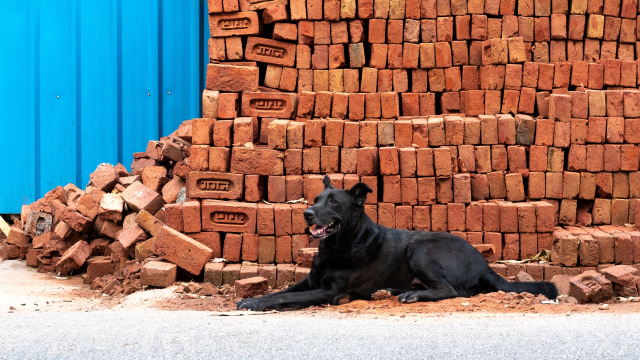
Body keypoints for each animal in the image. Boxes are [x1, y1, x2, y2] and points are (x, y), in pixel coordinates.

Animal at [238, 176, 556, 310]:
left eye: (333, 202)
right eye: (315, 199)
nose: (307, 214)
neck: (339, 246)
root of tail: (484, 265)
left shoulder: (329, 291)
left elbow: (282, 298)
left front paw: (255, 303)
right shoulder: (309, 282)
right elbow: (281, 291)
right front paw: (255, 298)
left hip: (421, 249)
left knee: (449, 290)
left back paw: (411, 295)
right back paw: (395, 290)